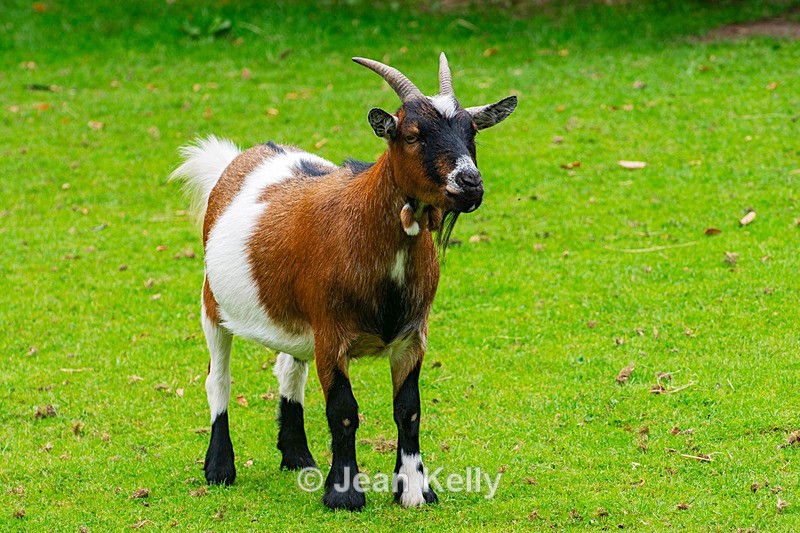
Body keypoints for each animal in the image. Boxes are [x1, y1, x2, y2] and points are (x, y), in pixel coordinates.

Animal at [171, 53, 516, 511]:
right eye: (411, 135)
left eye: (471, 131)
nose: (470, 183)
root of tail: (239, 160)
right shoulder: (331, 334)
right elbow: (344, 411)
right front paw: (344, 494)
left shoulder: (412, 337)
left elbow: (409, 409)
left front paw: (415, 490)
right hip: (212, 304)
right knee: (218, 379)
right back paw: (219, 468)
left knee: (289, 370)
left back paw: (297, 456)